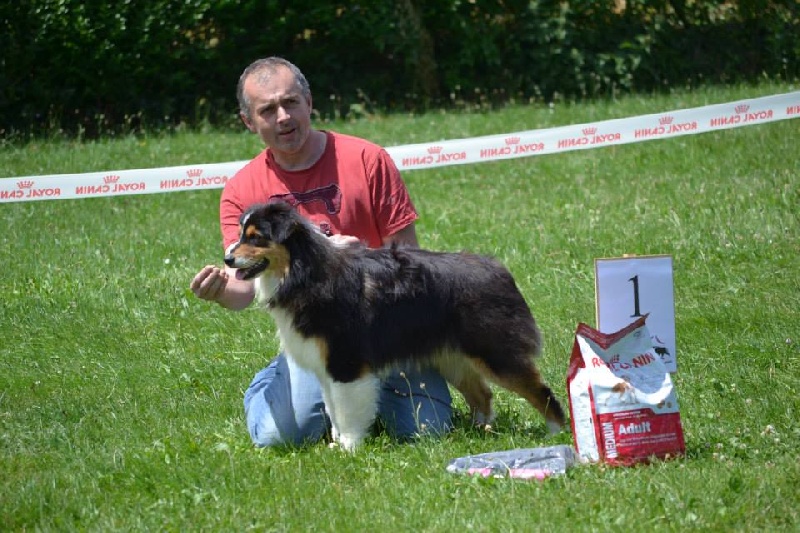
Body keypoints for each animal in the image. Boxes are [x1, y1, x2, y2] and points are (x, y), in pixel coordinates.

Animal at [222, 202, 564, 450]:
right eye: (240, 235)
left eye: (255, 237)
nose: (227, 259)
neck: (303, 273)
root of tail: (499, 269)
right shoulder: (325, 366)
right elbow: (332, 407)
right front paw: (336, 444)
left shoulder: (347, 363)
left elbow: (346, 410)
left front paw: (349, 447)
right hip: (453, 357)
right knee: (482, 394)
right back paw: (480, 430)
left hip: (495, 353)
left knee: (540, 391)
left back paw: (556, 432)